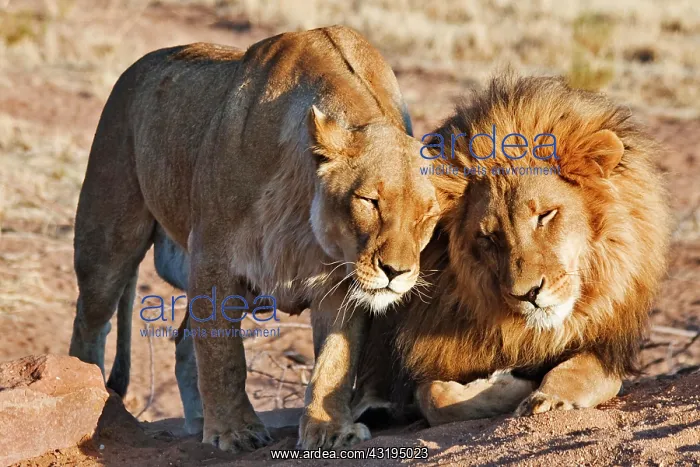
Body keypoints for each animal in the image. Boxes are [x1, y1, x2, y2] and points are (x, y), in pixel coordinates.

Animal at [68, 25, 440, 452]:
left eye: (427, 215)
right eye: (370, 201)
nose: (397, 272)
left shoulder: (341, 281)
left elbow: (336, 360)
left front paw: (331, 429)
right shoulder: (212, 256)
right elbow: (223, 354)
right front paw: (235, 431)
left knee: (183, 342)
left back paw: (198, 423)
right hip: (108, 236)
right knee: (91, 324)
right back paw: (91, 399)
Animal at [357, 74, 671, 427]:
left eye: (545, 215)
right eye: (489, 237)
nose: (528, 294)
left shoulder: (606, 350)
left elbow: (579, 373)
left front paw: (548, 398)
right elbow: (434, 398)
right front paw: (510, 385)